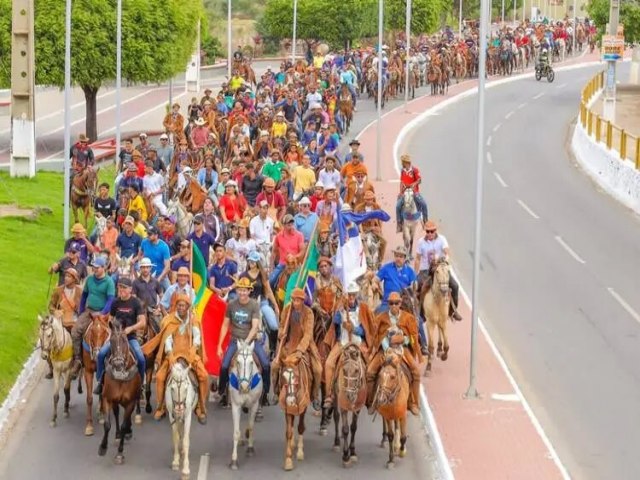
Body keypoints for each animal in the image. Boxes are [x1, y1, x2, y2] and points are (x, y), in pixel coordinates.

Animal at [98, 320, 143, 464]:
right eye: (111, 341)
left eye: (124, 339)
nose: (118, 364)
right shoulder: (107, 398)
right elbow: (107, 424)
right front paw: (103, 447)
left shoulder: (131, 402)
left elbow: (124, 425)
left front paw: (119, 453)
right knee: (117, 413)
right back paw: (118, 435)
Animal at [229, 340, 262, 470]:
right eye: (238, 362)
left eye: (251, 362)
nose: (243, 387)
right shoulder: (235, 405)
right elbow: (236, 432)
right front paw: (234, 460)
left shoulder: (254, 404)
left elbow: (251, 426)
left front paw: (250, 448)